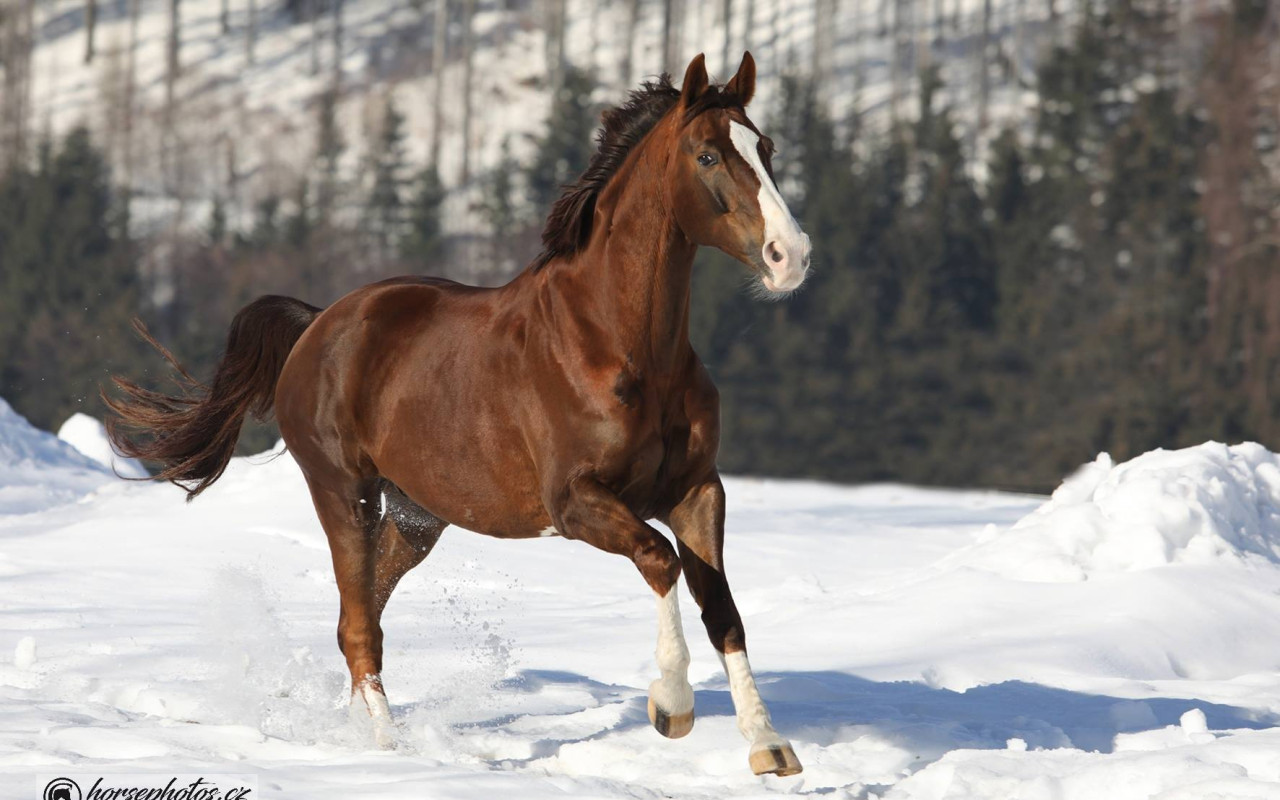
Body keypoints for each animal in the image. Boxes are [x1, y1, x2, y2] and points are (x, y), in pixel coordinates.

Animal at [110, 51, 808, 773]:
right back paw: (387, 747)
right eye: (707, 155)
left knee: (360, 615)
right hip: (344, 493)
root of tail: (318, 323)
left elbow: (721, 607)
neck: (618, 344)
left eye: (766, 148)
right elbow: (660, 560)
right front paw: (671, 707)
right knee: (358, 625)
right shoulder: (575, 502)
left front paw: (769, 747)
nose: (791, 257)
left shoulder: (696, 490)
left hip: (417, 517)